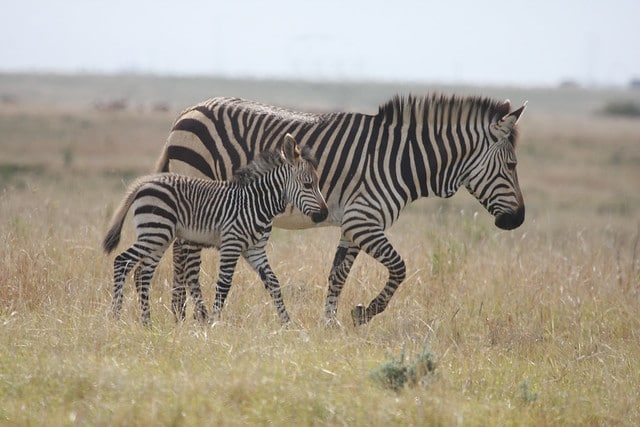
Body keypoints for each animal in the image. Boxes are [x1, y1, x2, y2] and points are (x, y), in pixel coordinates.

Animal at [104, 135, 330, 326]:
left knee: (142, 273)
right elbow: (224, 284)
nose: (324, 214)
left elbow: (273, 283)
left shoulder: (255, 250)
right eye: (308, 184)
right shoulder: (231, 244)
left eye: (317, 183)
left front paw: (287, 323)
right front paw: (213, 323)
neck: (257, 203)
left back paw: (147, 323)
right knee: (122, 262)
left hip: (159, 237)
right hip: (155, 232)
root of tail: (145, 183)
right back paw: (116, 317)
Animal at [158, 93, 528, 326]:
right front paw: (364, 313)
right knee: (186, 258)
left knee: (183, 254)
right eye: (511, 165)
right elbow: (400, 267)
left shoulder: (354, 225)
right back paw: (190, 317)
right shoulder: (364, 220)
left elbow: (337, 275)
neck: (401, 161)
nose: (518, 219)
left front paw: (330, 323)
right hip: (197, 187)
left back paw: (183, 316)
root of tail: (187, 111)